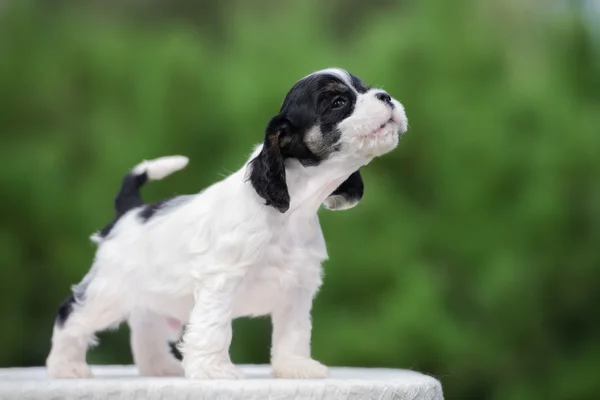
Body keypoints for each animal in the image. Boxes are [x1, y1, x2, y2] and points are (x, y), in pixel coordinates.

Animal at [47, 68, 408, 378]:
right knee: (70, 315)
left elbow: (294, 332)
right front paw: (215, 371)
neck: (290, 213)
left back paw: (159, 367)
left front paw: (296, 367)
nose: (387, 97)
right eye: (338, 102)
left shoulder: (297, 288)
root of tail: (129, 211)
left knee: (144, 327)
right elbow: (214, 328)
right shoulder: (221, 281)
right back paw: (66, 367)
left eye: (364, 88)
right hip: (107, 291)